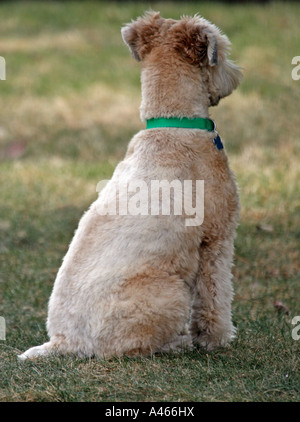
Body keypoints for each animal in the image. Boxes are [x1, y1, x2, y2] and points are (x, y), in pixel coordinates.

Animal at [18, 10, 243, 360]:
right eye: (221, 51)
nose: (236, 75)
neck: (174, 123)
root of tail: (64, 341)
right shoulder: (217, 240)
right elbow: (215, 296)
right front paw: (217, 339)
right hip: (170, 292)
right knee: (132, 348)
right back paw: (177, 343)